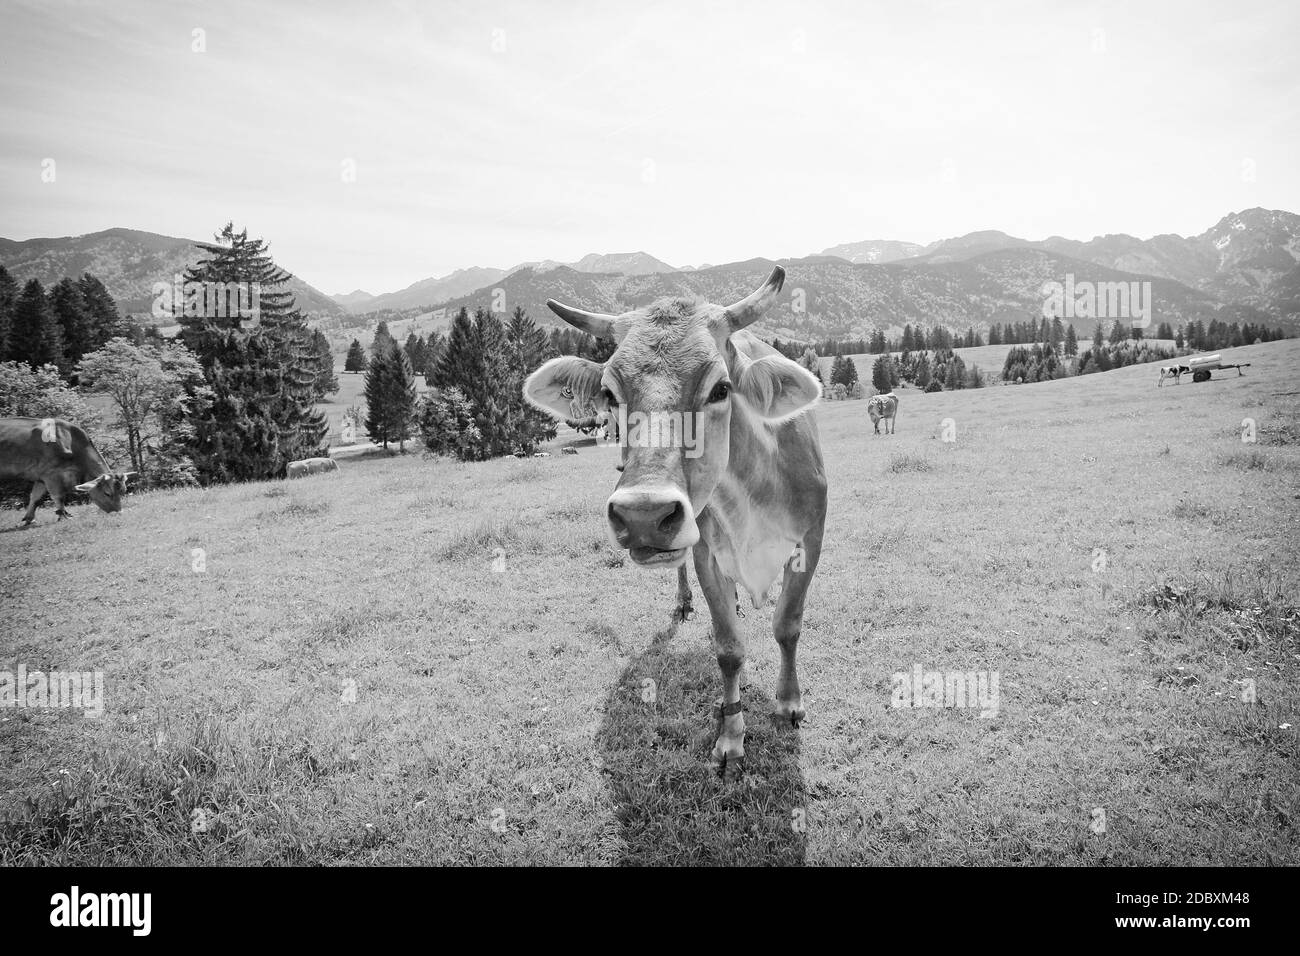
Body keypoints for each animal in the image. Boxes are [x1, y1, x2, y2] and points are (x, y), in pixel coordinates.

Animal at [0, 417, 133, 526]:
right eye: (107, 493)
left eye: (123, 491)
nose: (118, 512)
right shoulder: (50, 474)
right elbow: (58, 496)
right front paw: (63, 516)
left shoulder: (41, 477)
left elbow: (35, 497)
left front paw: (29, 518)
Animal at [524, 266, 827, 777]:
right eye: (609, 393)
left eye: (721, 389)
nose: (643, 514)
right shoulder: (704, 549)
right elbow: (728, 647)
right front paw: (731, 737)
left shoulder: (811, 538)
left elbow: (787, 624)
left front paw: (788, 704)